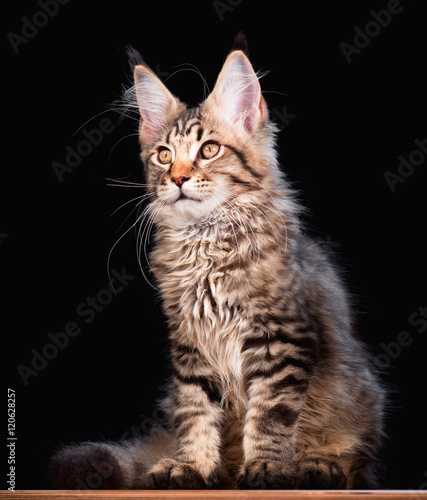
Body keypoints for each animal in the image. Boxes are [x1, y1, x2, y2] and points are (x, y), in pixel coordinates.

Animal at [50, 37, 388, 490]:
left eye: (208, 150)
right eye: (163, 155)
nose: (176, 178)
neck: (206, 246)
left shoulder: (280, 339)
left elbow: (270, 414)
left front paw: (266, 467)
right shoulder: (190, 345)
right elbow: (195, 412)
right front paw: (192, 466)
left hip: (360, 400)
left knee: (354, 461)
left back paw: (317, 466)